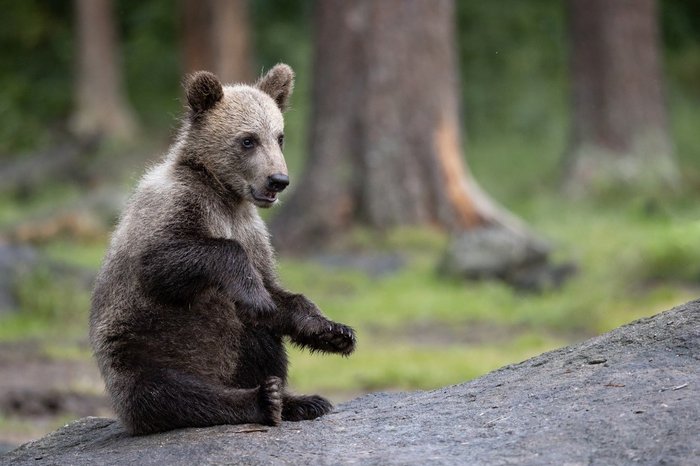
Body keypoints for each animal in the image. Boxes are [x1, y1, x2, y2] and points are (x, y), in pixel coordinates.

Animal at [89, 63, 356, 436]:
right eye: (248, 140)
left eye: (279, 136)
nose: (278, 180)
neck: (225, 194)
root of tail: (216, 376)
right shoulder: (174, 210)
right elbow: (167, 261)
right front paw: (254, 295)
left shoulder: (252, 232)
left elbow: (276, 293)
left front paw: (333, 332)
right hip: (138, 349)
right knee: (167, 392)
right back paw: (262, 400)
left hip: (233, 344)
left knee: (260, 343)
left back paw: (298, 400)